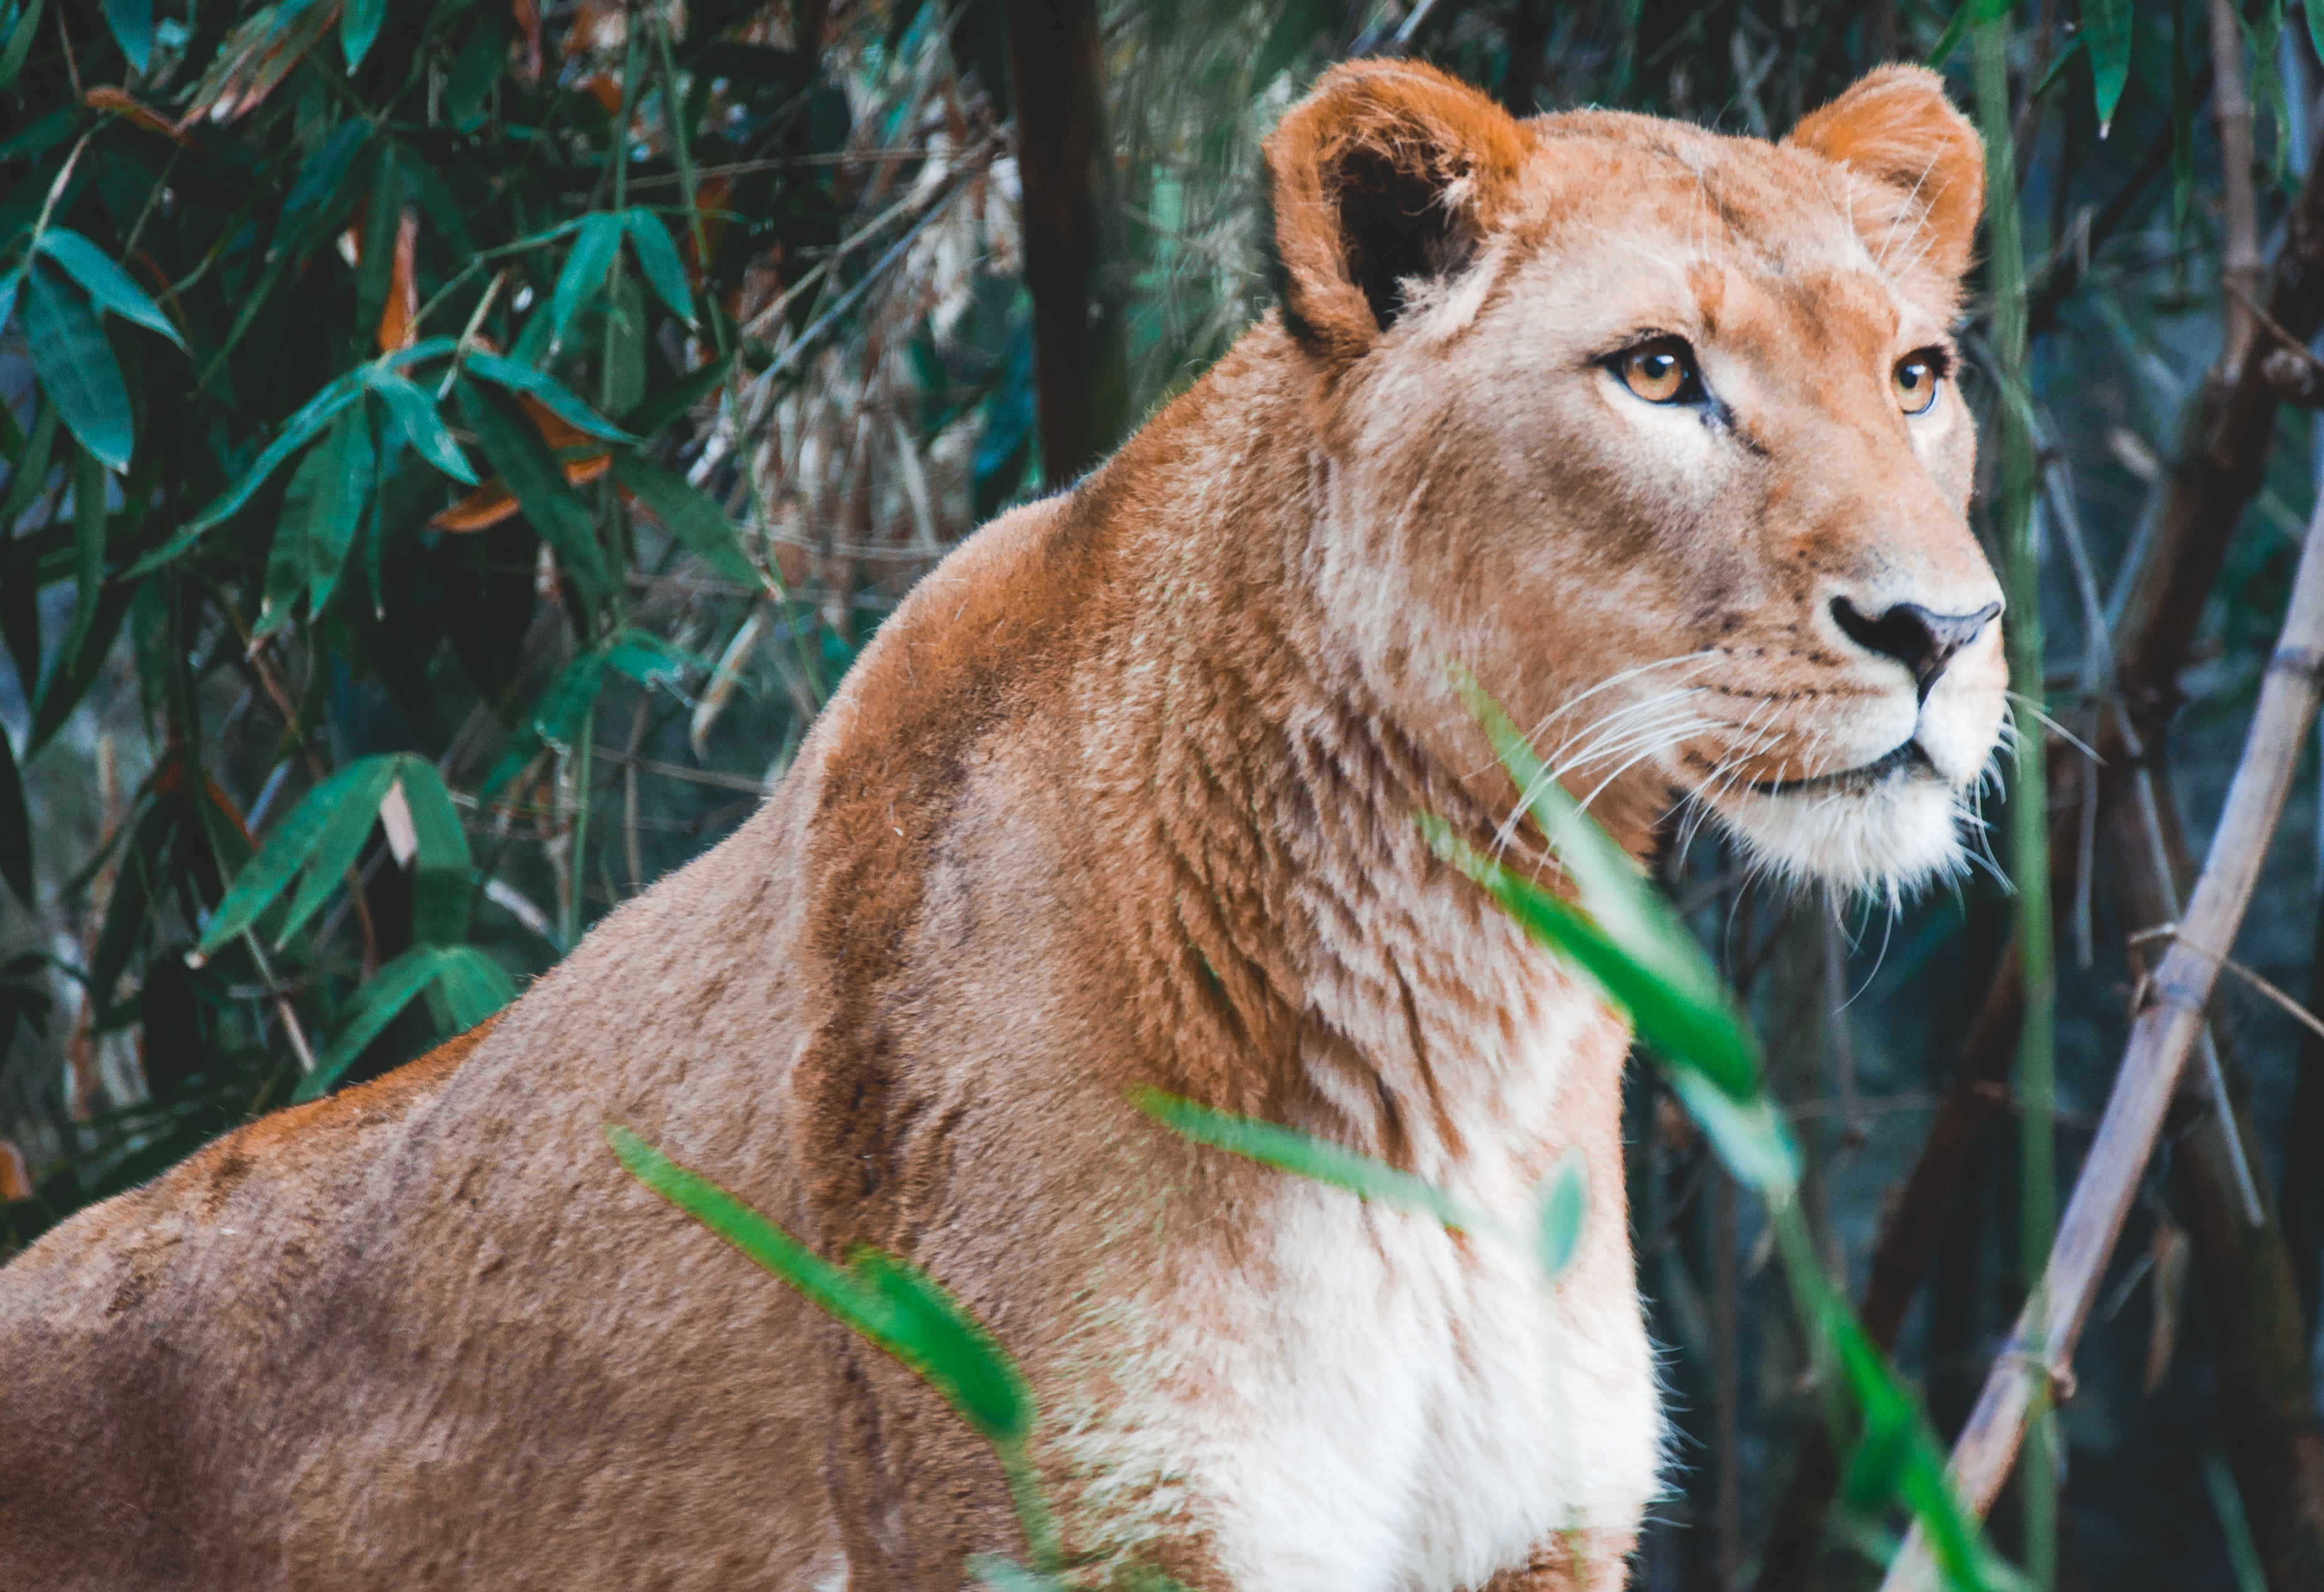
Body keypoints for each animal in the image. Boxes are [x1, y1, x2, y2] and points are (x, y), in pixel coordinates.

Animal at [0, 59, 2002, 1591]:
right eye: (1658, 372)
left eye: (1915, 377)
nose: (1944, 629)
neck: (1469, 993)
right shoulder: (1081, 1519)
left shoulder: (1535, 1531)